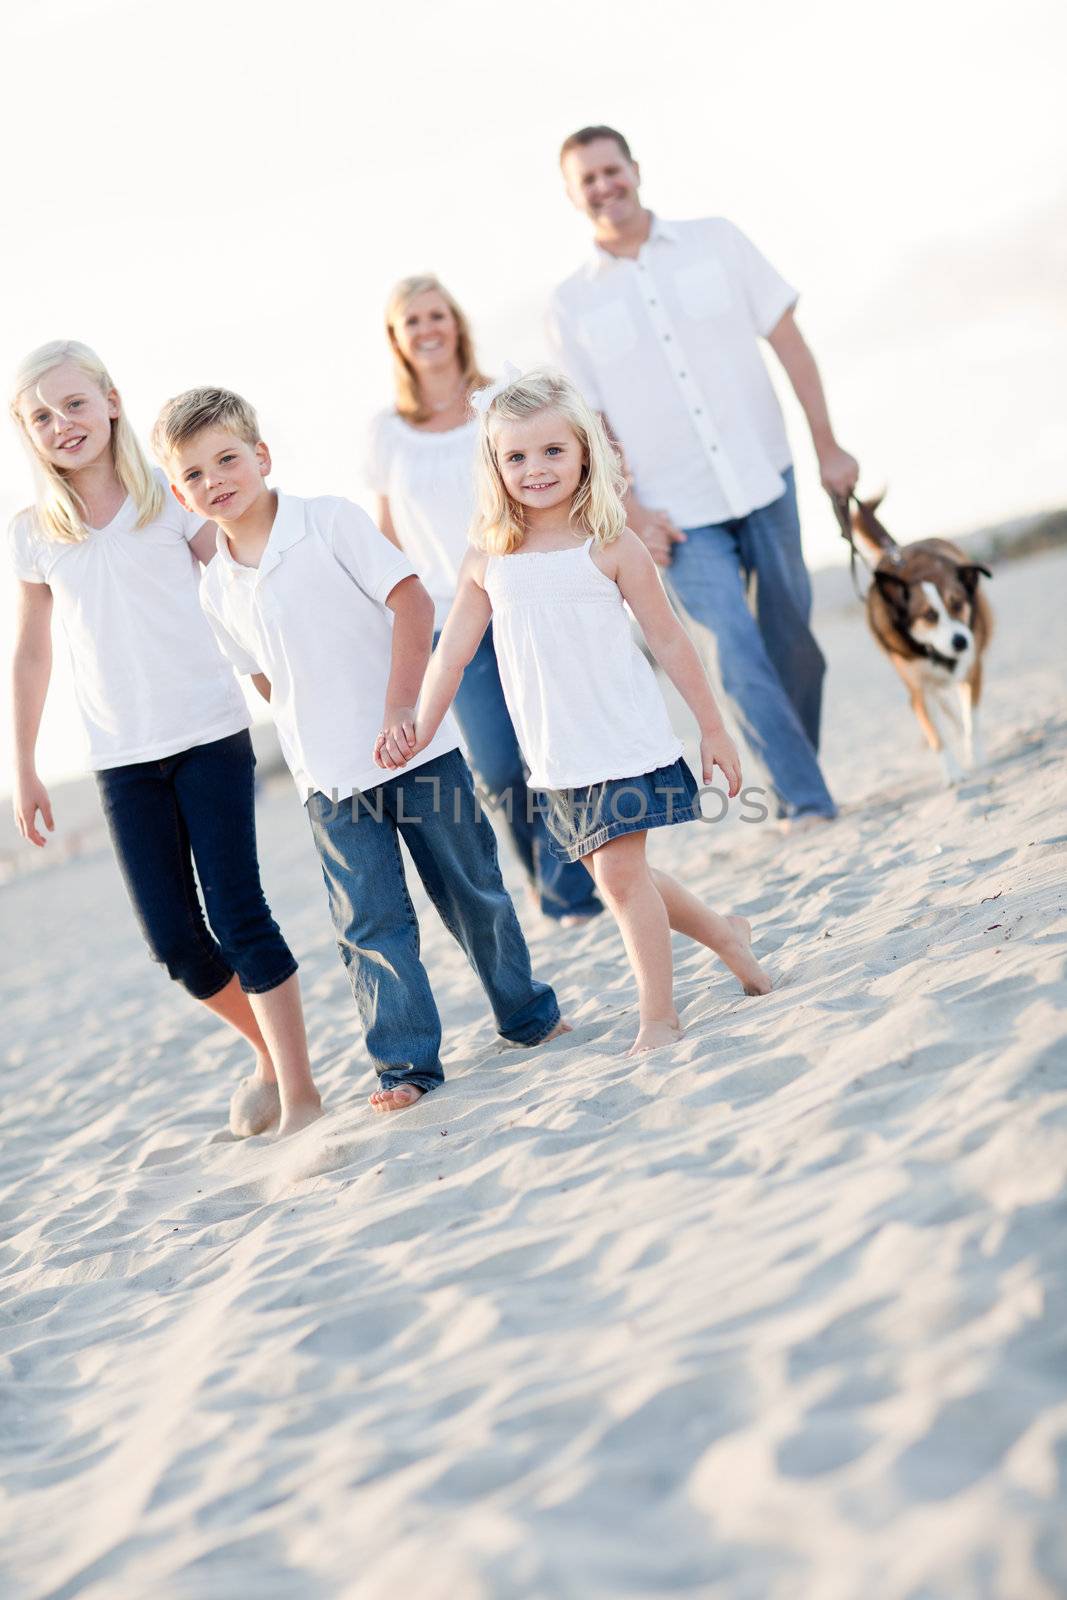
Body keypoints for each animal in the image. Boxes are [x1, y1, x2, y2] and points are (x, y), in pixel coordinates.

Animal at [851, 489, 991, 784]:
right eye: (928, 615)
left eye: (957, 604)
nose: (961, 641)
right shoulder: (918, 693)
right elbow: (937, 736)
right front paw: (954, 774)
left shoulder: (972, 671)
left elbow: (972, 719)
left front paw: (976, 756)